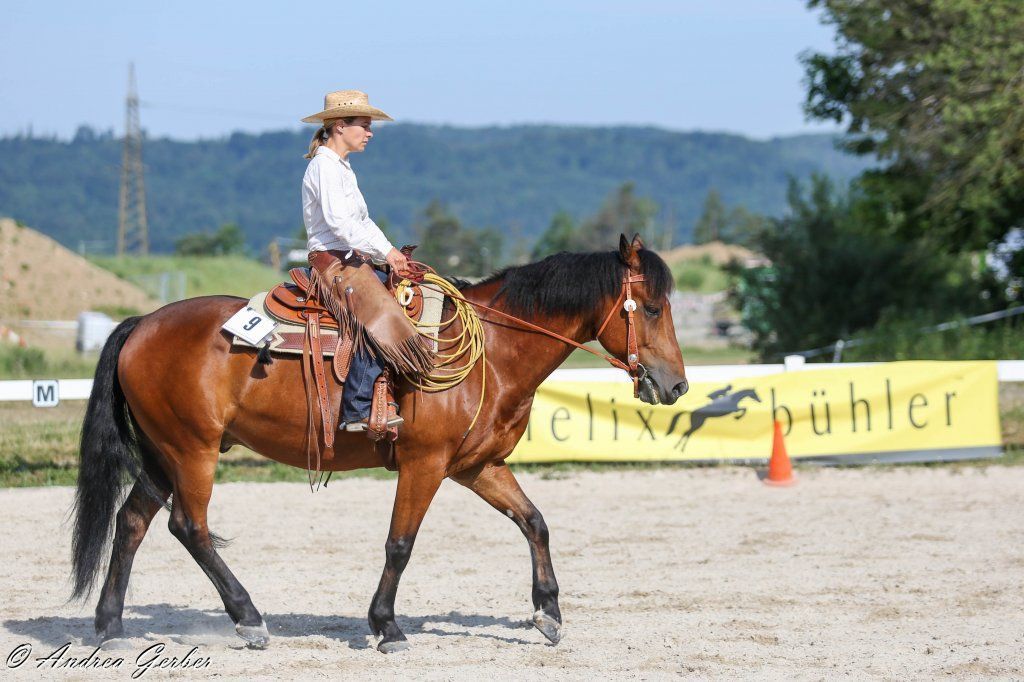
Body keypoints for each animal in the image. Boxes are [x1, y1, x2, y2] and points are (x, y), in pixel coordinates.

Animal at [70, 234, 688, 653]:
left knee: (132, 523)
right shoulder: (425, 463)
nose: (677, 385)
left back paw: (111, 627)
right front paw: (386, 624)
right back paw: (248, 618)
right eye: (653, 308)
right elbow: (400, 544)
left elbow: (534, 521)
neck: (492, 351)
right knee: (190, 527)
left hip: (163, 455)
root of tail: (143, 322)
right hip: (192, 451)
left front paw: (549, 612)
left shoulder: (478, 465)